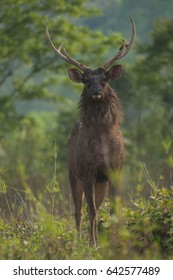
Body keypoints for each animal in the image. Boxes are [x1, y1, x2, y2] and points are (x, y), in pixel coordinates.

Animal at [46, 18, 137, 245]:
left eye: (105, 79)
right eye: (86, 81)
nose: (96, 90)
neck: (102, 144)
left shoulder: (114, 169)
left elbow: (113, 209)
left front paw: (114, 241)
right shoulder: (87, 171)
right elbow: (92, 210)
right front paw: (93, 243)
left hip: (100, 182)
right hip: (72, 174)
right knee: (79, 210)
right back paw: (80, 240)